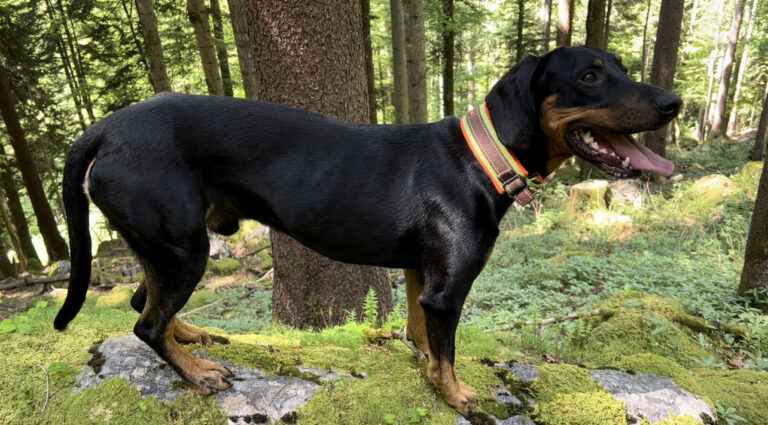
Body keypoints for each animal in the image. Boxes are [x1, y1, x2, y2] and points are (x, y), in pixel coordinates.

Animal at [54, 45, 680, 410]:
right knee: (145, 324)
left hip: (168, 244)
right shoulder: (447, 291)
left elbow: (422, 338)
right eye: (590, 76)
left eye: (621, 69)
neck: (481, 159)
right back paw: (197, 374)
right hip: (183, 247)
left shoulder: (420, 277)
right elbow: (448, 355)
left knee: (144, 302)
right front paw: (457, 396)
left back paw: (192, 340)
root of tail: (106, 129)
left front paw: (424, 369)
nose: (673, 101)